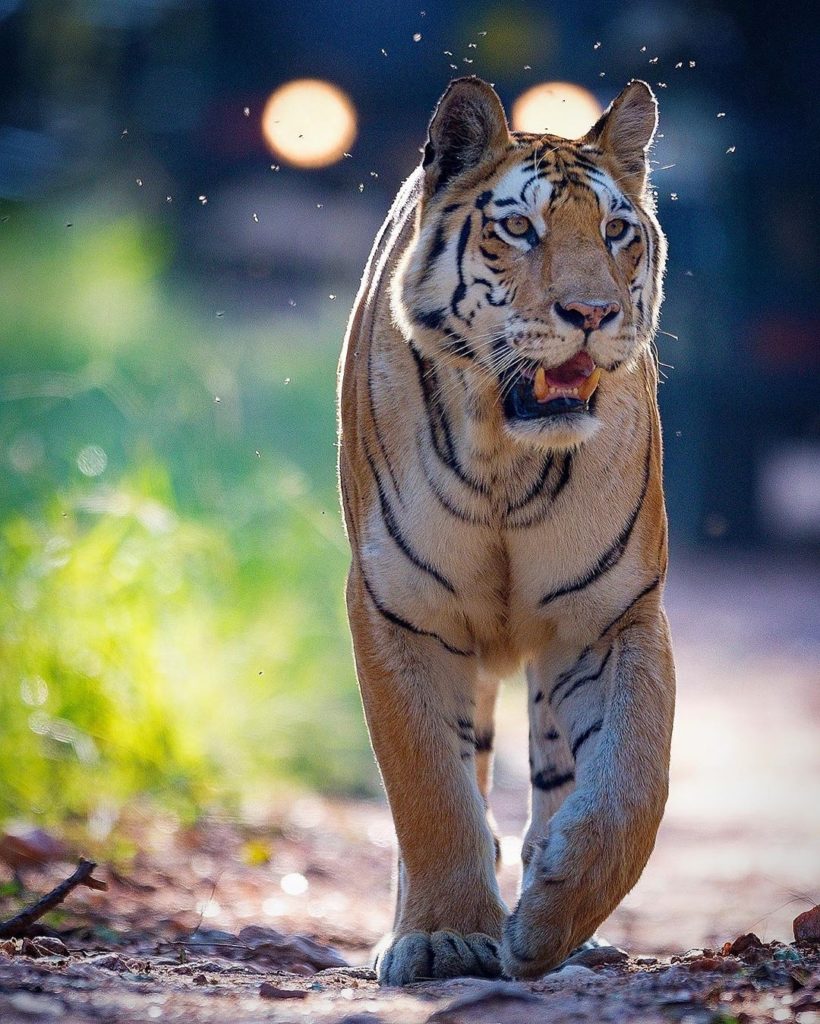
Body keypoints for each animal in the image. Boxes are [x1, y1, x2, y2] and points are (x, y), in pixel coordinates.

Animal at [337, 75, 675, 984]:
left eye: (616, 232)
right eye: (519, 228)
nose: (592, 312)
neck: (506, 460)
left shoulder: (611, 615)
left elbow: (633, 784)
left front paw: (551, 919)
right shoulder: (402, 609)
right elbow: (431, 790)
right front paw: (446, 936)